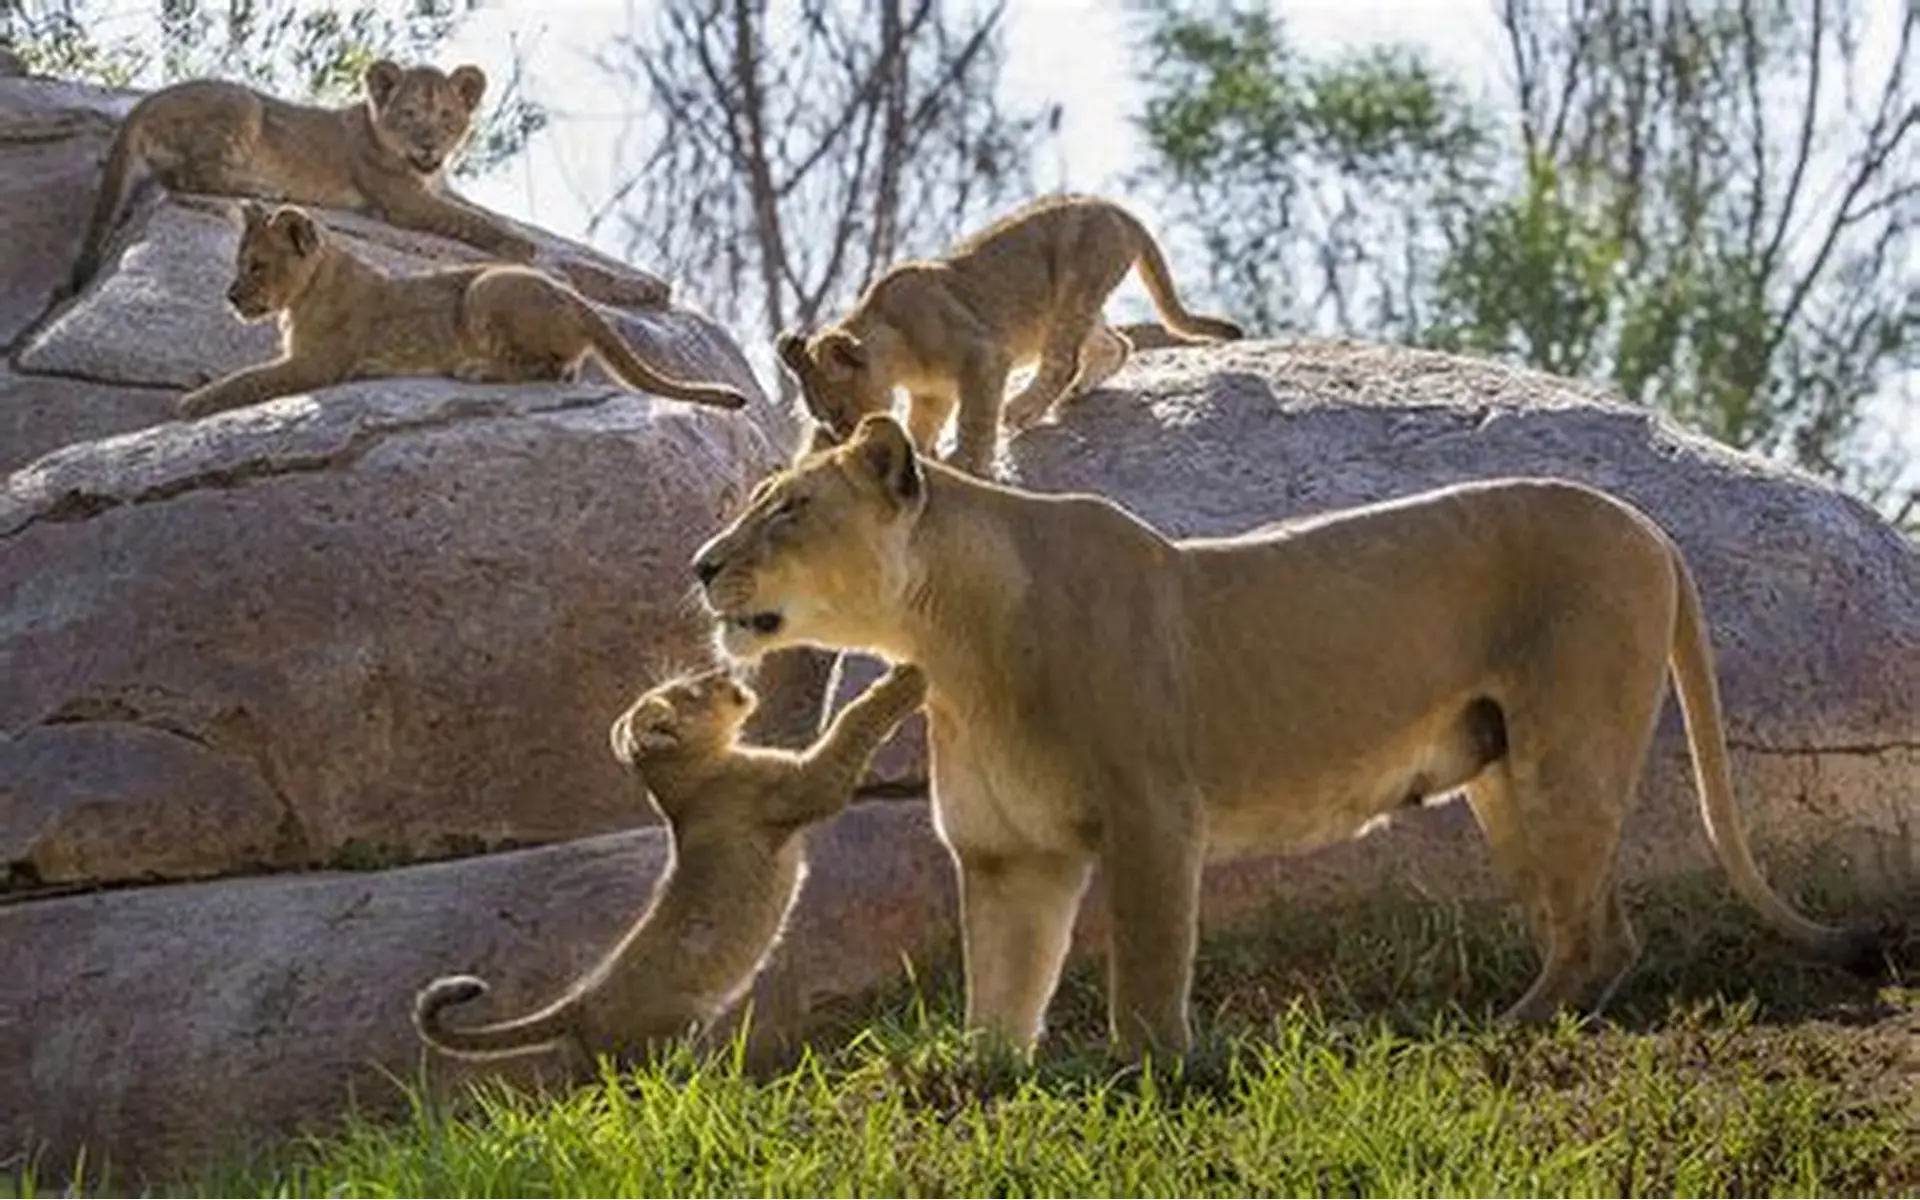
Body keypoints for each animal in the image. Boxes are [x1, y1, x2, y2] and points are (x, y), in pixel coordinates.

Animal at [176, 202, 747, 419]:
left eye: (258, 266)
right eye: (239, 263)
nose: (230, 296)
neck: (309, 288)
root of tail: (583, 302)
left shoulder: (316, 365)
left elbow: (248, 379)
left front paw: (190, 403)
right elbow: (243, 374)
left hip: (486, 286)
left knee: (550, 368)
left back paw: (475, 369)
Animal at [413, 662, 928, 1070]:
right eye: (694, 690)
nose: (722, 670)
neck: (685, 783)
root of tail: (580, 1001)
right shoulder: (796, 787)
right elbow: (851, 724)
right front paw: (905, 680)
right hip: (673, 1036)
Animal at [690, 414, 1885, 1060]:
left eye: (788, 509)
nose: (702, 564)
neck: (952, 647)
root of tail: (1655, 529)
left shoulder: (1153, 815)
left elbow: (1145, 972)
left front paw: (1147, 1072)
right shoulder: (1005, 857)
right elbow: (1002, 994)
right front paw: (981, 1083)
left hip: (1568, 752)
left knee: (1600, 931)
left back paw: (1504, 1035)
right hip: (1504, 778)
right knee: (1595, 923)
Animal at [775, 194, 1242, 477]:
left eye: (839, 413)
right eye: (824, 420)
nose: (840, 445)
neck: (897, 353)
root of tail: (1114, 205)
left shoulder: (982, 356)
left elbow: (975, 416)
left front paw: (966, 463)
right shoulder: (931, 394)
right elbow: (921, 426)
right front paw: (921, 459)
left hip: (1077, 278)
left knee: (1063, 360)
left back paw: (1025, 408)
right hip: (1069, 308)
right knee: (1118, 344)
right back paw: (1076, 391)